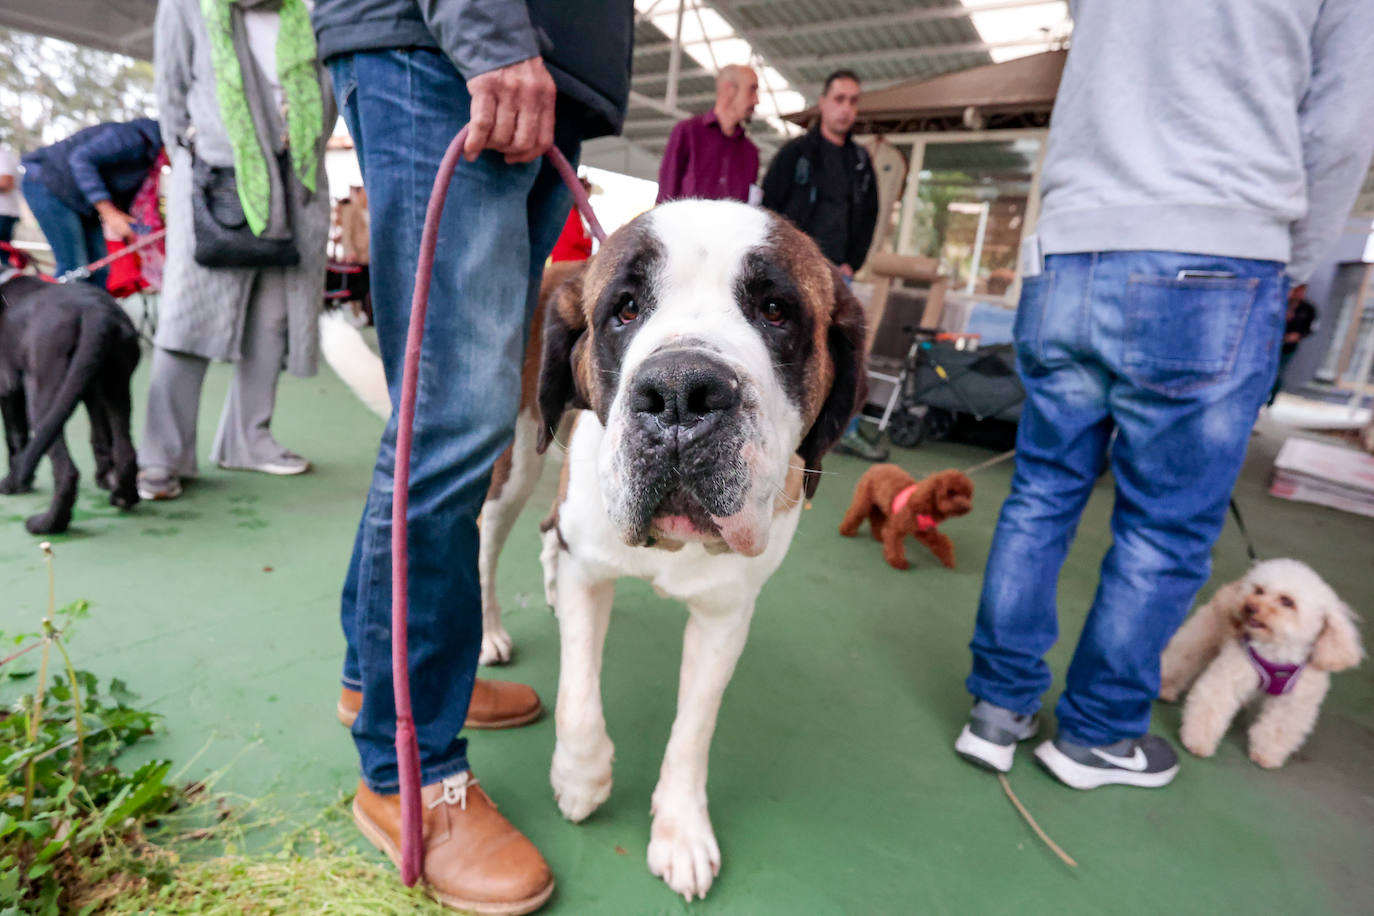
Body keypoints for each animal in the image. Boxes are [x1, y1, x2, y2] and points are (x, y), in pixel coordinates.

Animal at [0, 274, 140, 530]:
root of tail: (96, 310)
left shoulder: (8, 387)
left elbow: (15, 438)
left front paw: (15, 483)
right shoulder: (89, 389)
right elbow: (99, 435)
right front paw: (104, 477)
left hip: (42, 395)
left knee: (66, 470)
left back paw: (46, 524)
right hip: (115, 385)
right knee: (125, 450)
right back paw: (122, 496)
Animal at [530, 199, 862, 895]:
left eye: (775, 310)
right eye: (625, 308)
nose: (682, 392)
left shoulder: (726, 616)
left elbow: (694, 727)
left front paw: (680, 830)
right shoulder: (589, 573)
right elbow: (577, 696)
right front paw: (581, 779)